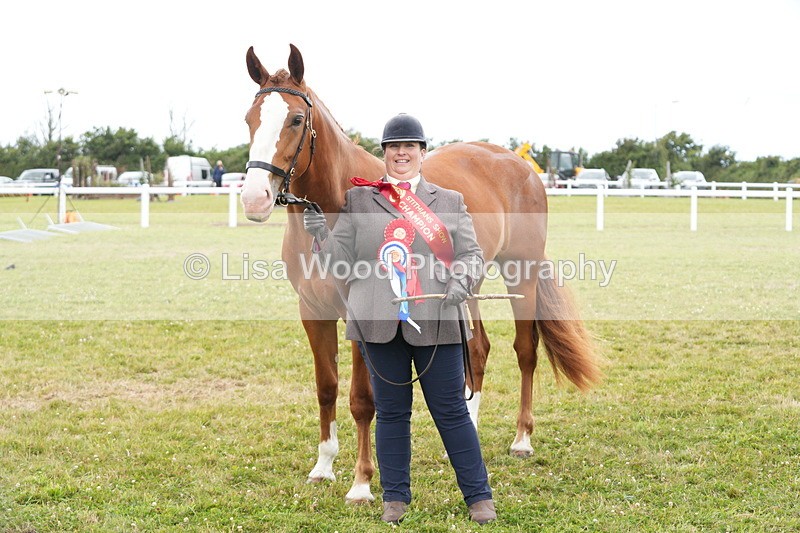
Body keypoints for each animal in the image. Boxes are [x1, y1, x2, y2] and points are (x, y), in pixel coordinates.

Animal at [239, 44, 602, 503]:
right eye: (249, 119)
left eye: (296, 119)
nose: (255, 198)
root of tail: (521, 167)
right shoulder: (313, 311)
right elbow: (327, 388)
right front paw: (323, 466)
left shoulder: (364, 314)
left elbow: (363, 399)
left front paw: (361, 484)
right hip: (466, 285)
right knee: (477, 349)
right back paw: (469, 427)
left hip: (522, 272)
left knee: (526, 350)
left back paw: (522, 439)